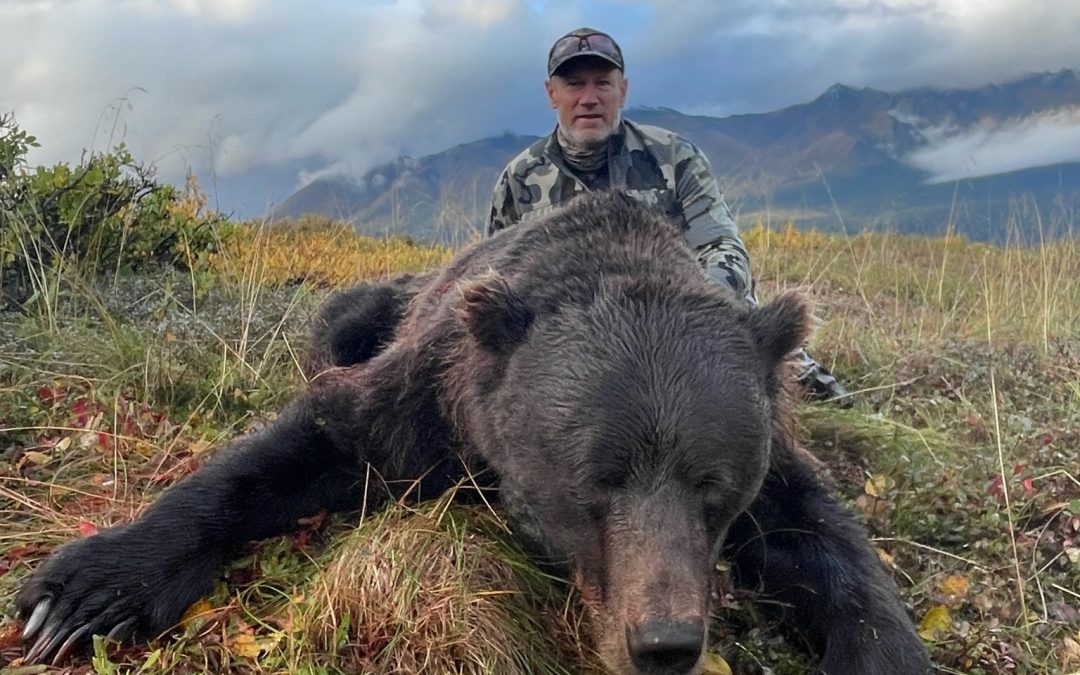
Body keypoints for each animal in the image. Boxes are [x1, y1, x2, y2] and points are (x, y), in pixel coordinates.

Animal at [16, 191, 932, 675]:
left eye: (714, 486)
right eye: (592, 482)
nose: (664, 642)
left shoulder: (771, 442)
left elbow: (824, 539)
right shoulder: (428, 396)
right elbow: (304, 444)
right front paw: (82, 594)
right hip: (369, 304)